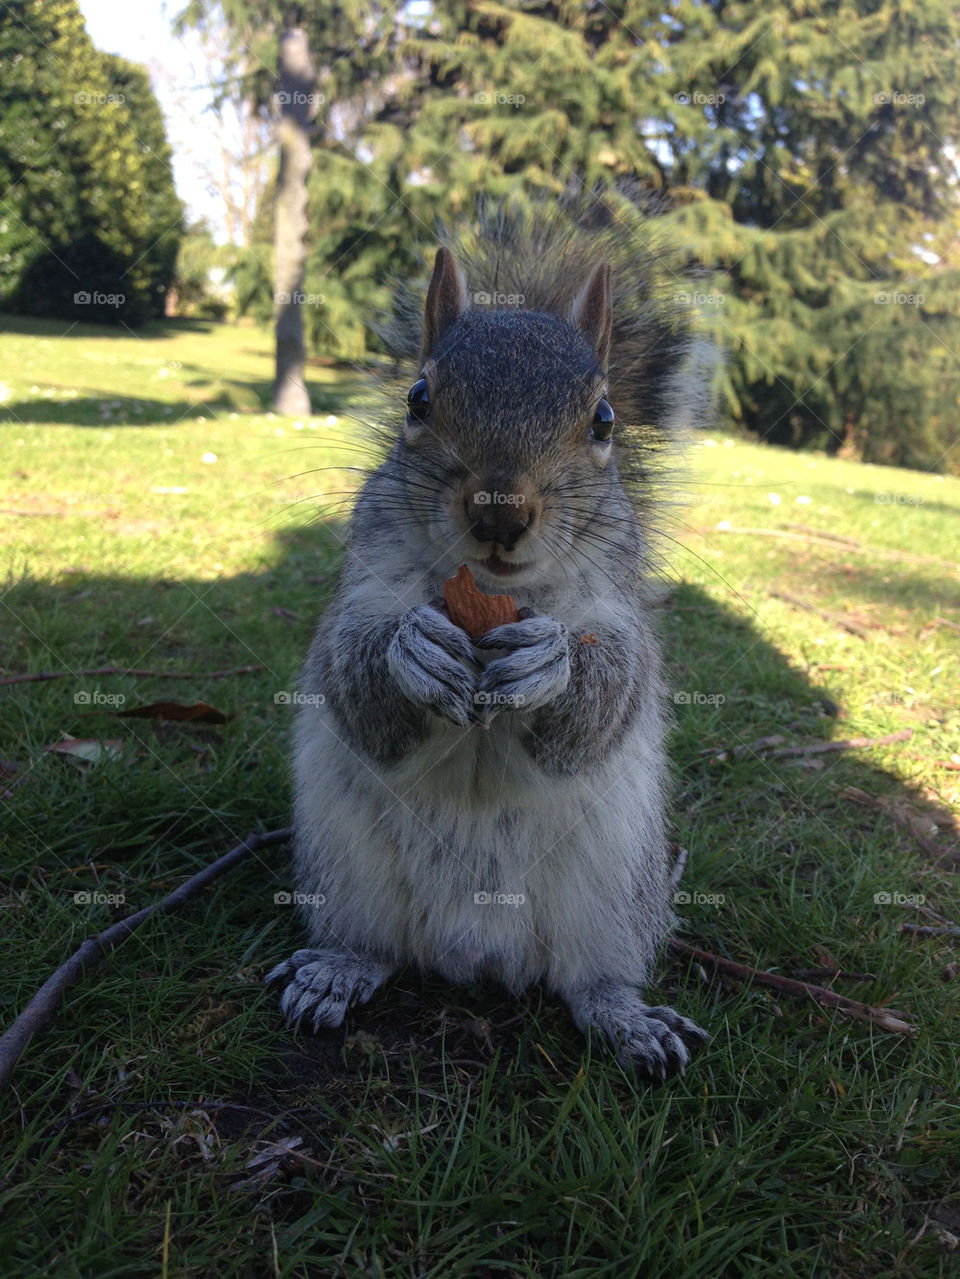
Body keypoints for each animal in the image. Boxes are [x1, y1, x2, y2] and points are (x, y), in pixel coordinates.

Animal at [268, 199, 715, 1079]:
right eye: (417, 398)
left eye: (604, 420)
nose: (499, 512)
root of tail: (473, 953)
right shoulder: (359, 588)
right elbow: (351, 677)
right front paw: (412, 651)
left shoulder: (618, 611)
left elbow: (608, 695)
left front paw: (550, 663)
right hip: (346, 869)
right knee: (371, 943)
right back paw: (336, 970)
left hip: (615, 896)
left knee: (591, 980)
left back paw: (629, 1019)